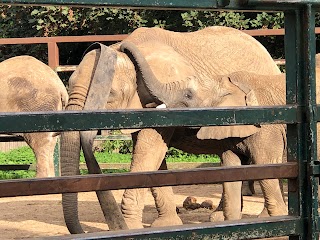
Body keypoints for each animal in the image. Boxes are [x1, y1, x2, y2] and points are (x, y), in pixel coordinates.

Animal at [58, 25, 282, 233]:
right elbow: (153, 156)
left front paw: (129, 227)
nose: (123, 46)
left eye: (110, 93)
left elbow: (149, 151)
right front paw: (166, 224)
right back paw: (220, 217)